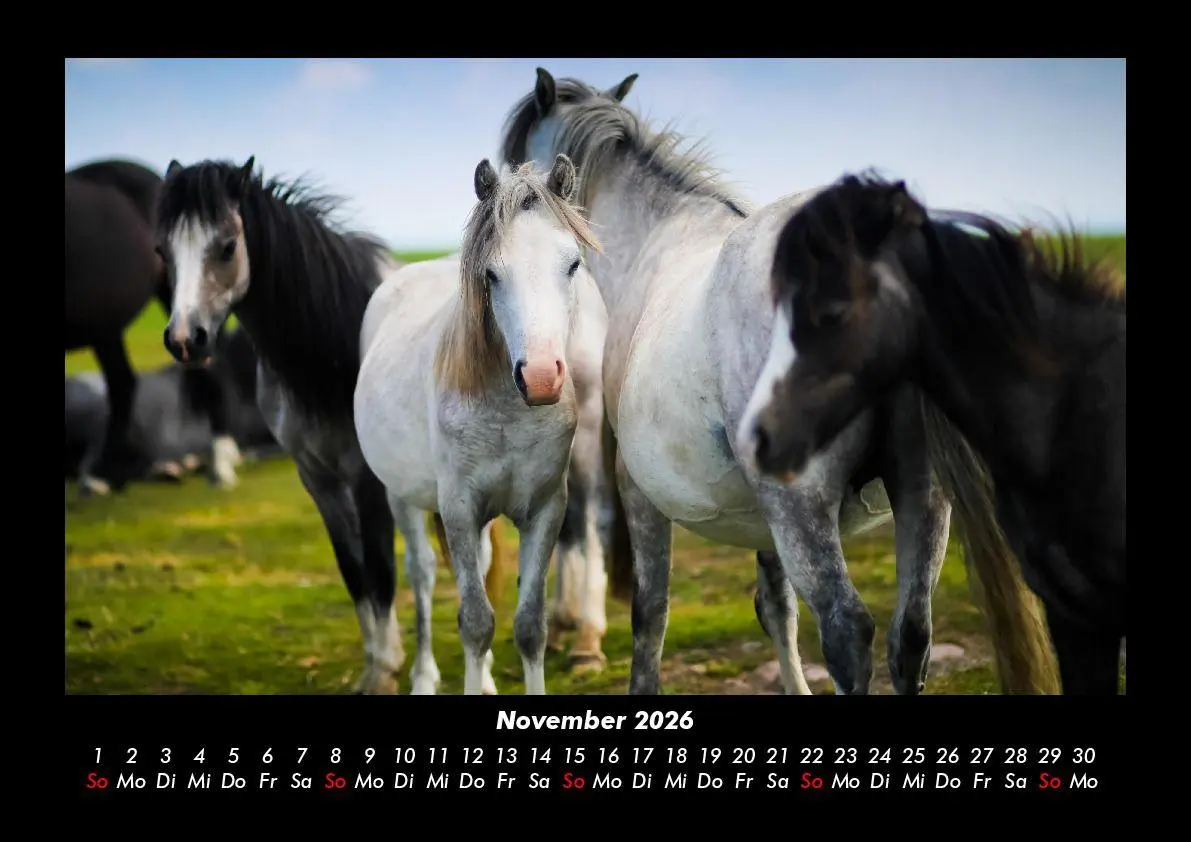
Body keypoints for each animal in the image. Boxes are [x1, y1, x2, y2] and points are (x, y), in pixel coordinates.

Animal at [355, 155, 622, 694]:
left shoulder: (545, 509)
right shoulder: (458, 508)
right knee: (422, 575)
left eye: (573, 264)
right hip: (402, 497)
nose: (540, 377)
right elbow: (475, 622)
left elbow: (530, 626)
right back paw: (423, 677)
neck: (507, 413)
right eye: (492, 274)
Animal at [500, 67, 1055, 696]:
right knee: (911, 635)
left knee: (847, 631)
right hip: (922, 495)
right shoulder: (760, 516)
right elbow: (776, 607)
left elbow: (650, 612)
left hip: (803, 506)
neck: (657, 240)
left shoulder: (640, 490)